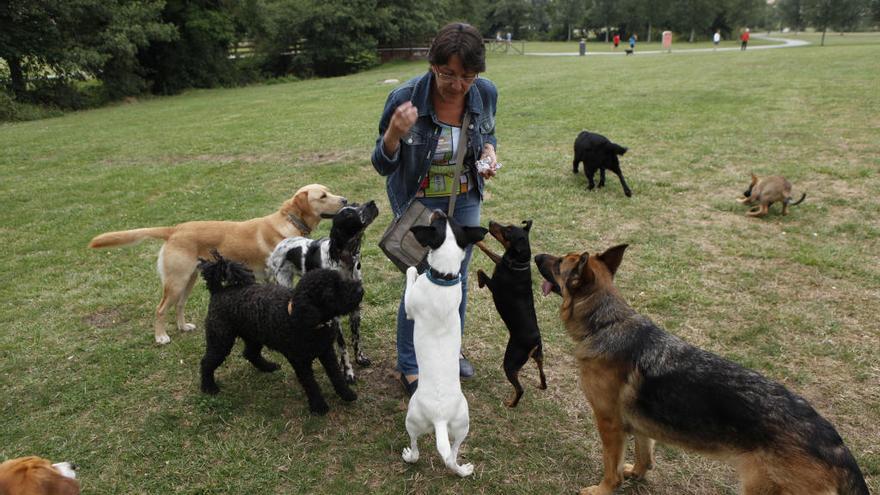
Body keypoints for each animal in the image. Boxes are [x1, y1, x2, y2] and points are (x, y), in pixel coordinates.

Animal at [89, 183, 348, 344]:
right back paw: (161, 337)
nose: (345, 199)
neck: (291, 221)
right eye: (322, 196)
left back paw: (183, 327)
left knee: (179, 306)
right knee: (160, 309)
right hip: (175, 282)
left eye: (329, 191)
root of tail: (175, 229)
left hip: (189, 280)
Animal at [198, 252, 362, 414]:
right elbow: (311, 384)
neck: (299, 318)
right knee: (206, 362)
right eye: (330, 293)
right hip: (220, 340)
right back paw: (208, 387)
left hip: (254, 336)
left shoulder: (326, 351)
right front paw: (318, 406)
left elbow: (336, 375)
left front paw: (346, 394)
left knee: (250, 354)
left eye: (340, 279)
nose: (360, 289)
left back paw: (267, 367)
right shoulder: (300, 361)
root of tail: (218, 290)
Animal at [400, 209, 488, 476]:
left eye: (437, 221)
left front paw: (412, 269)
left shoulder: (410, 306)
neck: (445, 277)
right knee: (451, 456)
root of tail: (439, 419)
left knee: (416, 448)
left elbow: (411, 278)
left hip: (412, 419)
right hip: (462, 425)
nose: (439, 210)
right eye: (450, 220)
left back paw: (409, 456)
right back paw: (463, 470)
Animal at [474, 220, 544, 406]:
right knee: (542, 372)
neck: (518, 265)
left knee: (520, 389)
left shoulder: (495, 287)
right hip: (538, 356)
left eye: (507, 231)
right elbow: (490, 252)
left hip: (510, 362)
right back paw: (542, 385)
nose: (490, 222)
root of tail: (536, 340)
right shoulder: (500, 260)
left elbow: (480, 272)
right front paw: (478, 242)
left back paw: (511, 404)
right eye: (508, 225)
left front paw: (480, 283)